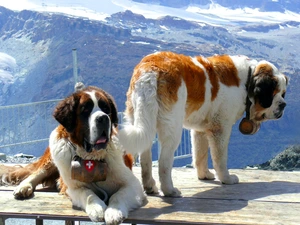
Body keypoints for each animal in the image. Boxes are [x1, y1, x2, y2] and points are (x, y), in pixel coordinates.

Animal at [1, 85, 146, 224]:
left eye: (106, 108)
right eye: (85, 110)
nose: (103, 118)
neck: (91, 156)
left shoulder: (133, 184)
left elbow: (118, 195)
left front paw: (114, 212)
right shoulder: (73, 188)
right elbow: (87, 193)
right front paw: (97, 208)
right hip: (52, 155)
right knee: (37, 173)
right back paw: (24, 187)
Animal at [118, 51, 288, 197]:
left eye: (283, 93)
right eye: (274, 93)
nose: (283, 105)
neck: (247, 80)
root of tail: (150, 71)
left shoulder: (200, 130)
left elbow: (200, 154)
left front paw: (204, 175)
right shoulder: (220, 128)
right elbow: (220, 158)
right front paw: (226, 179)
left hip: (140, 117)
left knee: (145, 157)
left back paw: (150, 187)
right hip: (172, 127)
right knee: (164, 163)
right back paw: (170, 190)